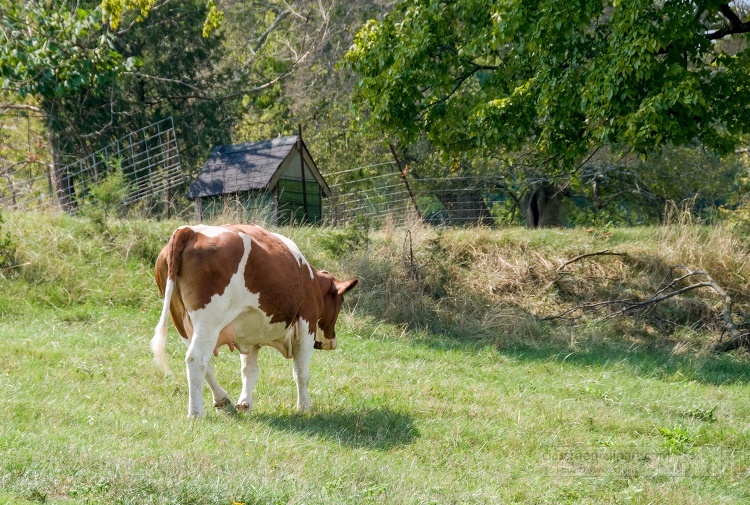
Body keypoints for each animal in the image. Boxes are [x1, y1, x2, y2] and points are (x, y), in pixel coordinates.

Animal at [152, 224, 358, 418]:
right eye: (342, 300)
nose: (332, 341)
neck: (310, 279)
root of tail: (190, 230)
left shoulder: (250, 337)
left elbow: (249, 371)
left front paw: (245, 404)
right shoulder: (306, 325)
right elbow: (301, 372)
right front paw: (304, 408)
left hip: (182, 322)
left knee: (205, 364)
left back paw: (223, 401)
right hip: (208, 321)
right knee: (196, 358)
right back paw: (196, 412)